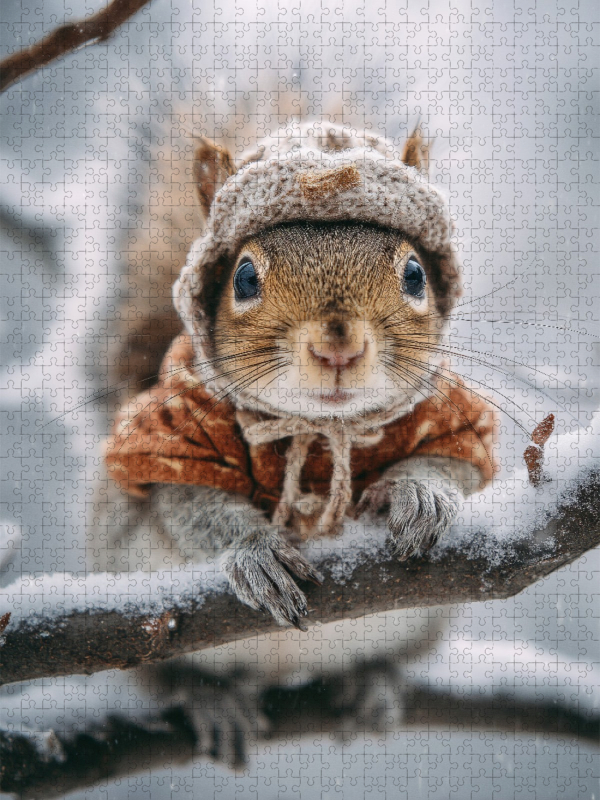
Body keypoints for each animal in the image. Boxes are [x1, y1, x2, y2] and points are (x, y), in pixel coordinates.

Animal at [97, 121, 498, 765]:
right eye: (244, 279)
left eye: (414, 275)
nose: (338, 347)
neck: (320, 431)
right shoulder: (176, 434)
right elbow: (188, 504)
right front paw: (256, 553)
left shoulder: (447, 411)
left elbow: (453, 462)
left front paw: (421, 494)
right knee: (170, 677)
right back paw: (213, 701)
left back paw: (372, 684)